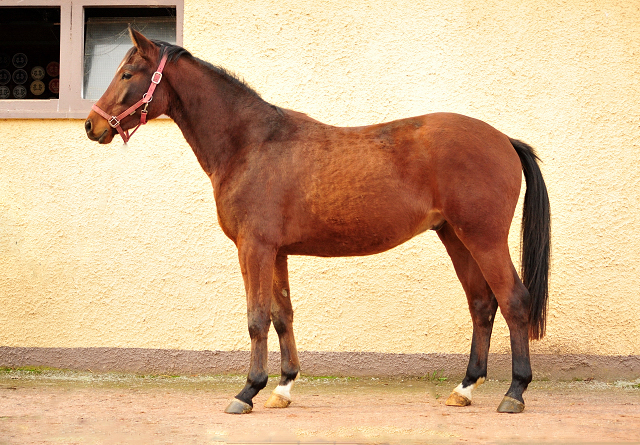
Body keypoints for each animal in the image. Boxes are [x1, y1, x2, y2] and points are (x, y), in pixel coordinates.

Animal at [86, 29, 552, 414]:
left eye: (128, 73)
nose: (91, 125)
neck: (250, 144)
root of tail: (504, 140)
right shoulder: (276, 253)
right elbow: (282, 315)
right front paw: (282, 388)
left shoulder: (253, 248)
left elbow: (256, 318)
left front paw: (247, 391)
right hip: (455, 237)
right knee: (482, 305)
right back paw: (465, 388)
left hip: (484, 238)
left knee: (514, 301)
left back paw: (514, 393)